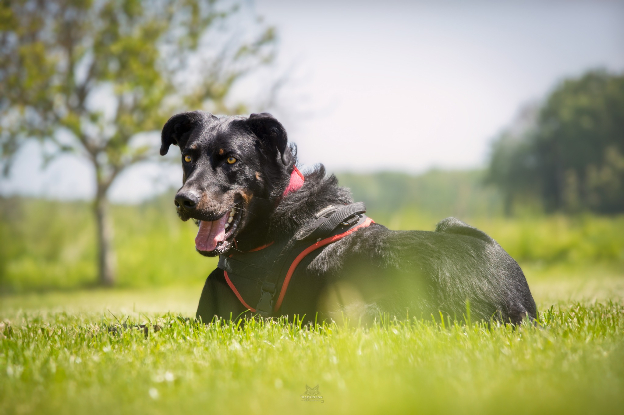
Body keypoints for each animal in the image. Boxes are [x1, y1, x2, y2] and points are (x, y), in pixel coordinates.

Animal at [160, 111, 537, 324]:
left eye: (231, 160)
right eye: (188, 158)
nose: (184, 200)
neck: (276, 209)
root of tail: (515, 307)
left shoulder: (216, 318)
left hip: (350, 312)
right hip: (453, 223)